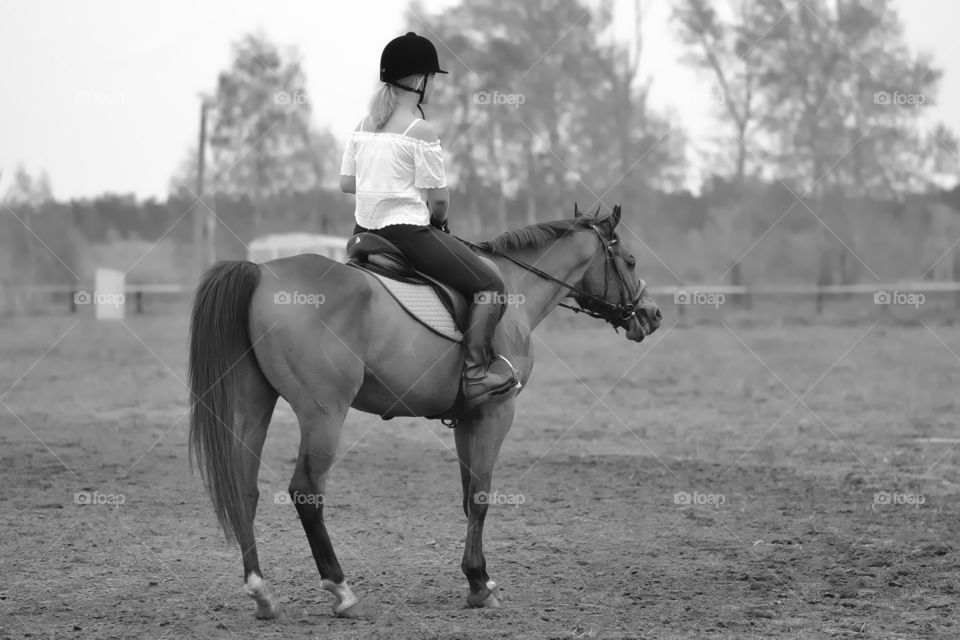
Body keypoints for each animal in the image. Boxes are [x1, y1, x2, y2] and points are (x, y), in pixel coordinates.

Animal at [187, 203, 661, 618]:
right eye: (631, 260)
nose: (652, 314)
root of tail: (261, 273)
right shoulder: (496, 412)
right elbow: (481, 496)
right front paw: (479, 585)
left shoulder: (467, 418)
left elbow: (468, 497)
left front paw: (478, 578)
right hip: (323, 413)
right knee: (306, 491)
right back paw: (342, 591)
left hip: (253, 406)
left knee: (243, 489)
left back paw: (262, 593)